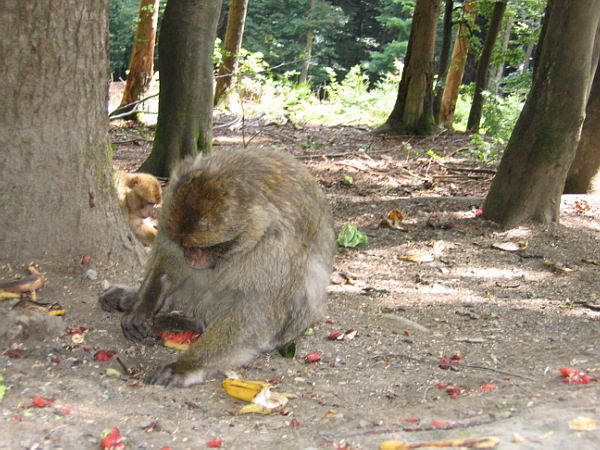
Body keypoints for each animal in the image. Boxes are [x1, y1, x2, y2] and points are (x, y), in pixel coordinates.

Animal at [100, 148, 336, 387]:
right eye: (186, 245)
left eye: (207, 247)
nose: (191, 257)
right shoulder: (170, 206)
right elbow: (168, 251)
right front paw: (144, 305)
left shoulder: (277, 244)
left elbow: (255, 311)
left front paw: (186, 365)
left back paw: (189, 323)